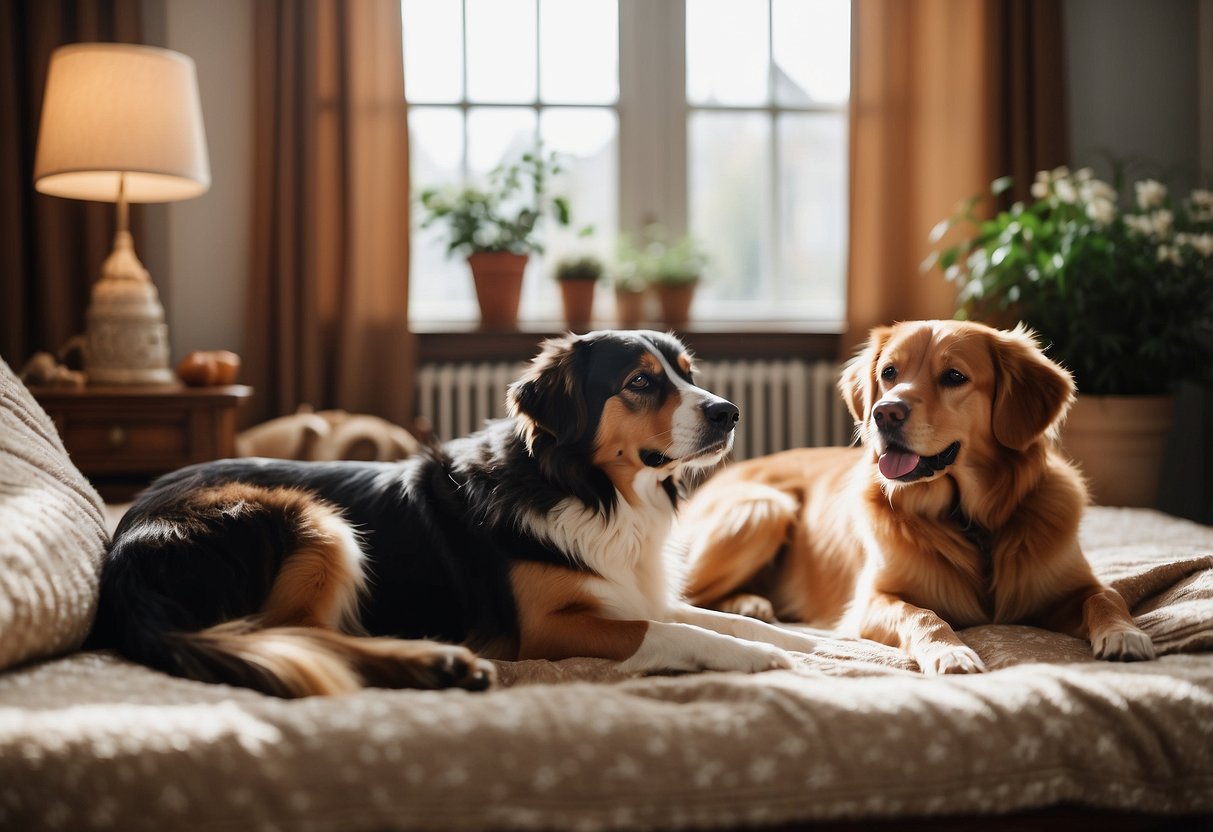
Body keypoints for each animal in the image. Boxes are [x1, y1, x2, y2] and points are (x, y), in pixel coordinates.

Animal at [89, 329, 819, 698]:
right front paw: (755, 656)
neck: (590, 490)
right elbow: (673, 632)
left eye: (686, 372)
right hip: (313, 519)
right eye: (641, 382)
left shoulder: (628, 588)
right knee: (294, 636)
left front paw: (805, 639)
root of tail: (125, 546)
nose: (728, 412)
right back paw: (435, 661)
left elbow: (704, 614)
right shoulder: (547, 628)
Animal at [684, 320, 1154, 679]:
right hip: (764, 508)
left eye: (954, 377)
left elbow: (1106, 597)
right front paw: (951, 651)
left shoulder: (1071, 586)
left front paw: (1125, 634)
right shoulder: (872, 602)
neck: (969, 519)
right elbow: (924, 614)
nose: (884, 413)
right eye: (889, 372)